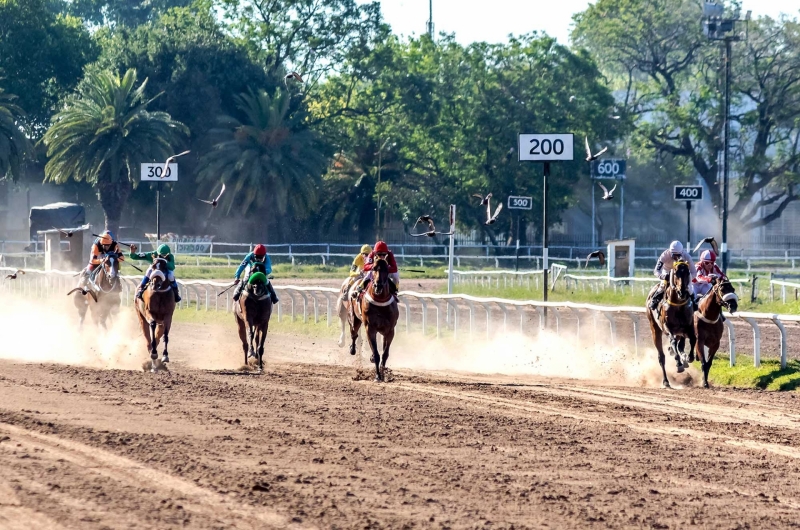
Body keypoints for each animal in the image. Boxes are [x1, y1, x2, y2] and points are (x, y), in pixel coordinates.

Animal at [648, 260, 696, 388]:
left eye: (687, 272)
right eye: (675, 273)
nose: (682, 291)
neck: (678, 305)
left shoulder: (687, 327)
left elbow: (693, 339)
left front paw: (689, 357)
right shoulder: (668, 327)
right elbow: (673, 342)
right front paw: (679, 364)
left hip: (679, 332)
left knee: (679, 345)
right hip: (655, 329)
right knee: (661, 356)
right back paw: (666, 381)